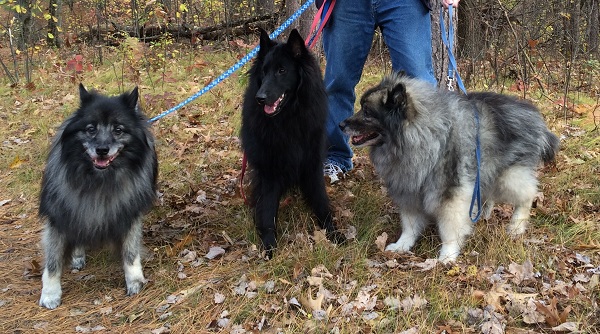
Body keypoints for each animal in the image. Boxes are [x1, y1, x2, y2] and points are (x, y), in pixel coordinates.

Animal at [38, 85, 158, 310]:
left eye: (118, 130)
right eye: (91, 129)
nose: (102, 150)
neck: (99, 180)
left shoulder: (129, 212)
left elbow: (130, 252)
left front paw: (135, 280)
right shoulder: (61, 213)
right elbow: (52, 261)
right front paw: (50, 293)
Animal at [238, 28, 342, 258]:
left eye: (282, 71)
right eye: (264, 71)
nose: (260, 98)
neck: (288, 118)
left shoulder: (312, 165)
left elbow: (321, 202)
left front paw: (333, 232)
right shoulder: (269, 171)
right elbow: (267, 210)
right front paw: (269, 247)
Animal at [340, 73, 560, 264]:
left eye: (367, 112)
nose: (341, 125)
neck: (421, 136)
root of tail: (535, 116)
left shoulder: (451, 195)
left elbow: (449, 229)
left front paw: (447, 255)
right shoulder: (409, 189)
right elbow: (409, 224)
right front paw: (402, 245)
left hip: (509, 176)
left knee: (527, 195)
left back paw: (516, 226)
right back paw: (483, 214)